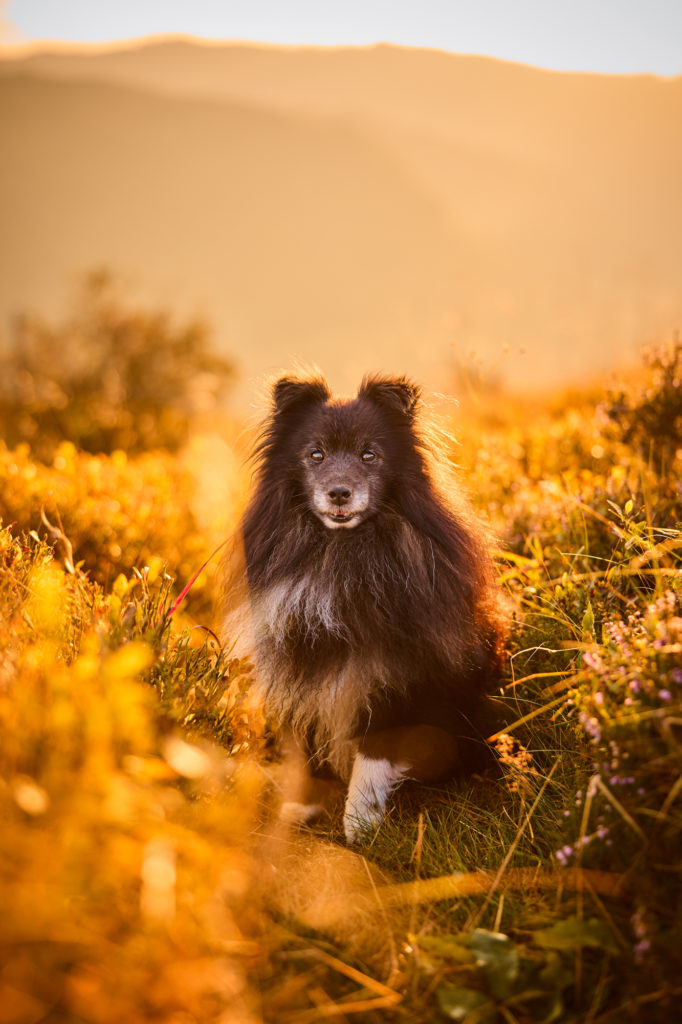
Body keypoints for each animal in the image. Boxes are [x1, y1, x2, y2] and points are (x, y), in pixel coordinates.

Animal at [223, 374, 503, 839]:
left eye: (369, 455)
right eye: (315, 454)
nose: (339, 493)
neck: (342, 556)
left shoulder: (394, 680)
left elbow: (374, 758)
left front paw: (360, 827)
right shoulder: (302, 667)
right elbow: (304, 747)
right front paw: (299, 808)